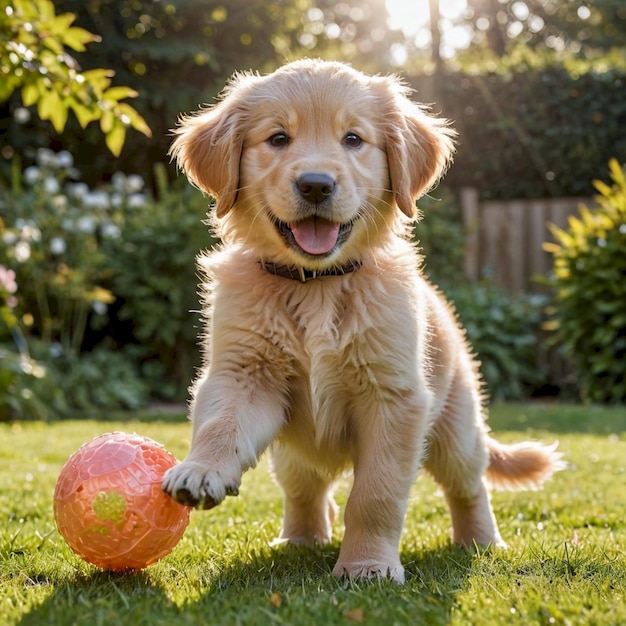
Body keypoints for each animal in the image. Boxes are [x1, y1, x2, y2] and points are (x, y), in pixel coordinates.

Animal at [161, 57, 560, 580]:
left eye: (353, 139)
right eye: (277, 138)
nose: (315, 184)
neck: (317, 284)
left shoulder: (394, 399)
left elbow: (376, 494)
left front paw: (368, 565)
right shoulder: (244, 372)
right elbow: (221, 425)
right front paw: (201, 469)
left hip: (455, 428)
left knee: (469, 486)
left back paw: (480, 542)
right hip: (292, 454)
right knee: (305, 489)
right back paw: (300, 538)